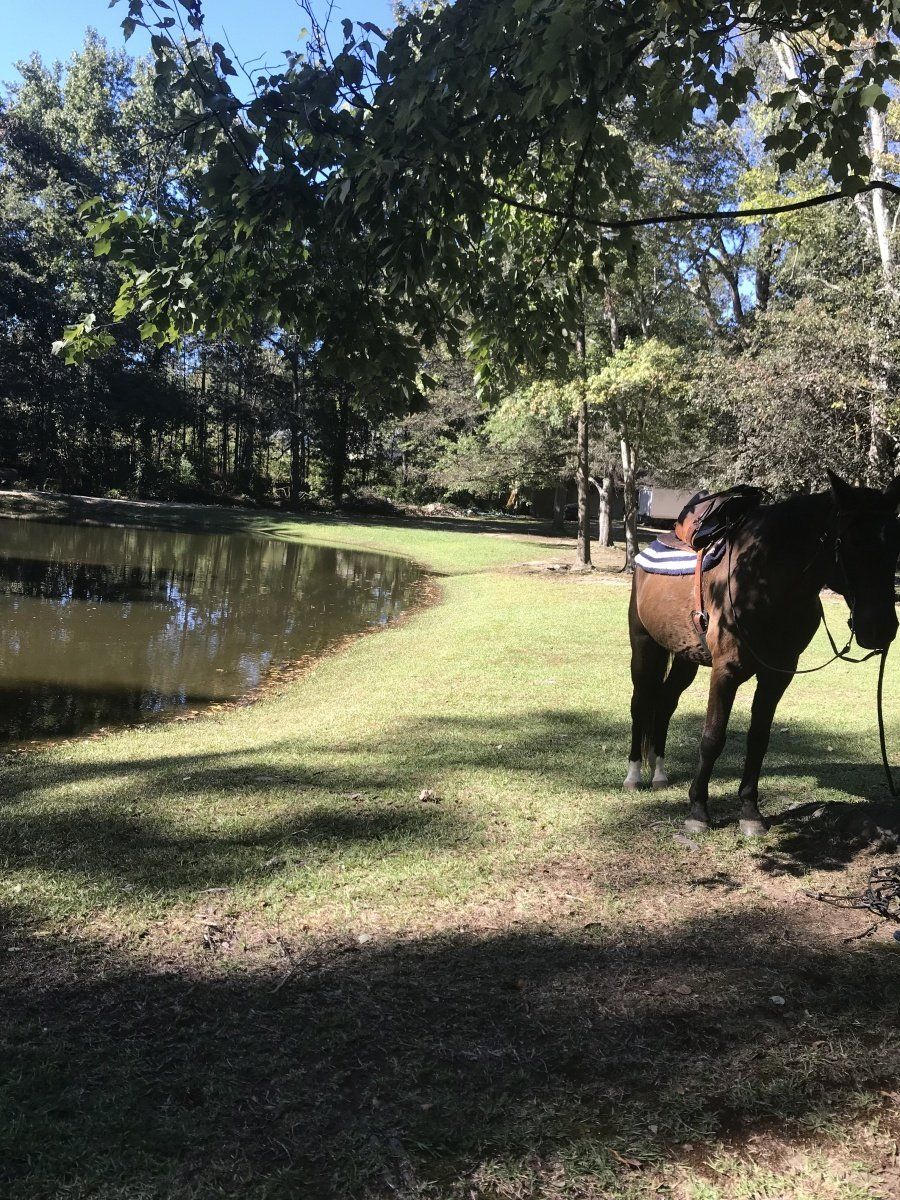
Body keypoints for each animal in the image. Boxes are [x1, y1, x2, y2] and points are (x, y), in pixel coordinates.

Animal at [625, 472, 900, 836]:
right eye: (851, 542)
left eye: (896, 546)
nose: (880, 628)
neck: (764, 579)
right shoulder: (726, 671)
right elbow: (712, 737)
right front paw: (698, 811)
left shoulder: (777, 675)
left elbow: (758, 739)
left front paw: (750, 812)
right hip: (645, 647)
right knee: (641, 702)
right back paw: (633, 776)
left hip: (685, 656)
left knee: (666, 702)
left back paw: (659, 772)